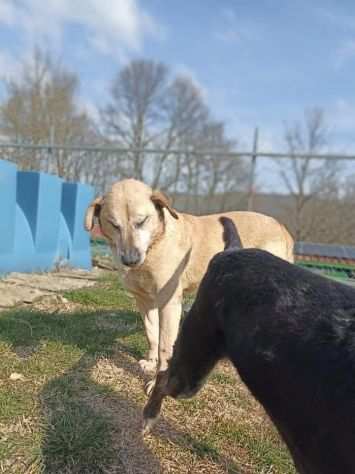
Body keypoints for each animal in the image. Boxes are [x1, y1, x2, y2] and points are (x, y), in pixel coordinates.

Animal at [84, 180, 294, 390]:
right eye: (114, 225)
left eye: (142, 221)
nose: (130, 260)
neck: (155, 244)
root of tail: (281, 226)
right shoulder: (144, 301)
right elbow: (151, 334)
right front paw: (151, 363)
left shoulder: (169, 304)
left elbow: (164, 347)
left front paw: (157, 382)